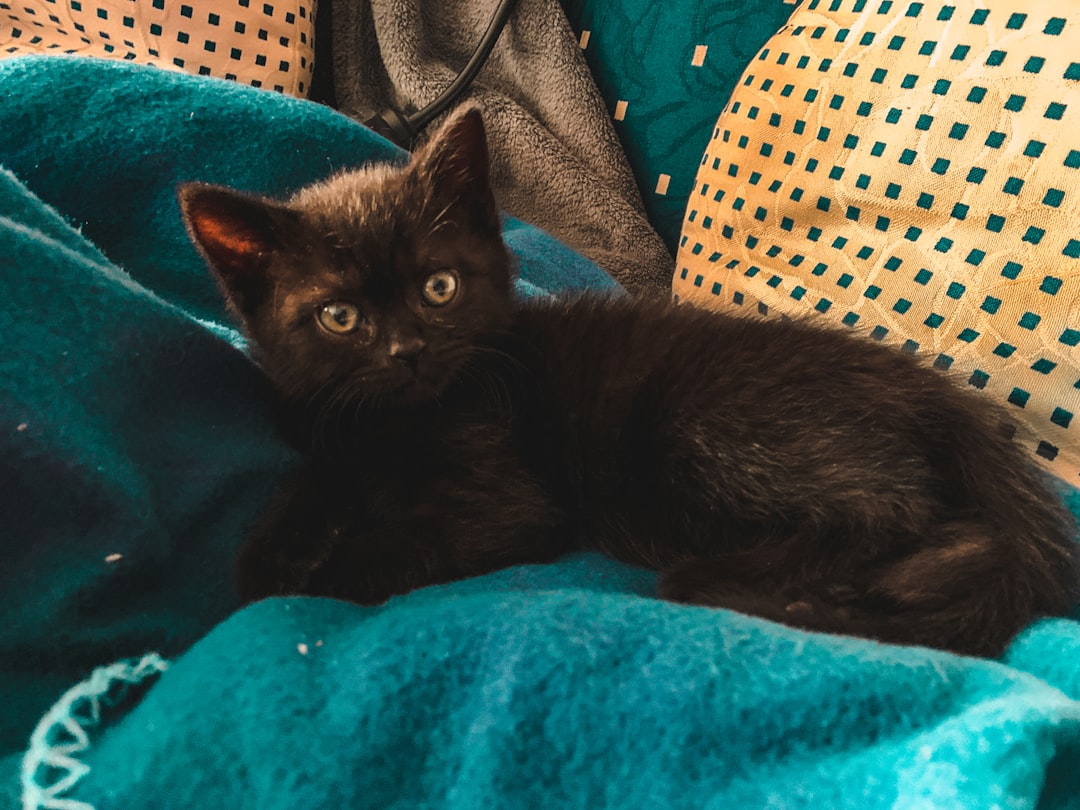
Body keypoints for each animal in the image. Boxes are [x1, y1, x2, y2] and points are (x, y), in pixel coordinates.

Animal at [179, 106, 1080, 660]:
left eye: (439, 287)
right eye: (339, 317)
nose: (407, 350)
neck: (399, 421)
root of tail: (928, 391)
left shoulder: (504, 501)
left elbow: (394, 543)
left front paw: (289, 590)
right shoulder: (333, 427)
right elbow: (315, 479)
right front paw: (272, 554)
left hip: (713, 424)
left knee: (892, 506)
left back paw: (728, 579)